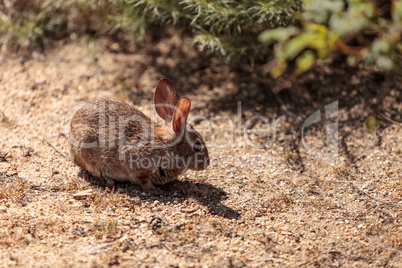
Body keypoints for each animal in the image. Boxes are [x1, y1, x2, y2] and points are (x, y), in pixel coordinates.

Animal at [66, 78, 210, 194]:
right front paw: (154, 190)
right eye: (197, 147)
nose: (207, 163)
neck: (166, 146)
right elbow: (143, 179)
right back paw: (107, 180)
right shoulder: (134, 161)